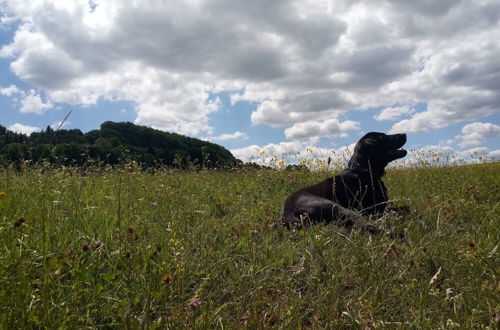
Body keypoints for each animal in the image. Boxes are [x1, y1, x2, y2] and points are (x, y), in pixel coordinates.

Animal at [280, 132, 408, 235]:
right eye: (383, 137)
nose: (404, 134)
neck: (362, 170)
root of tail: (289, 214)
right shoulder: (375, 208)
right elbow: (403, 208)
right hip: (342, 209)